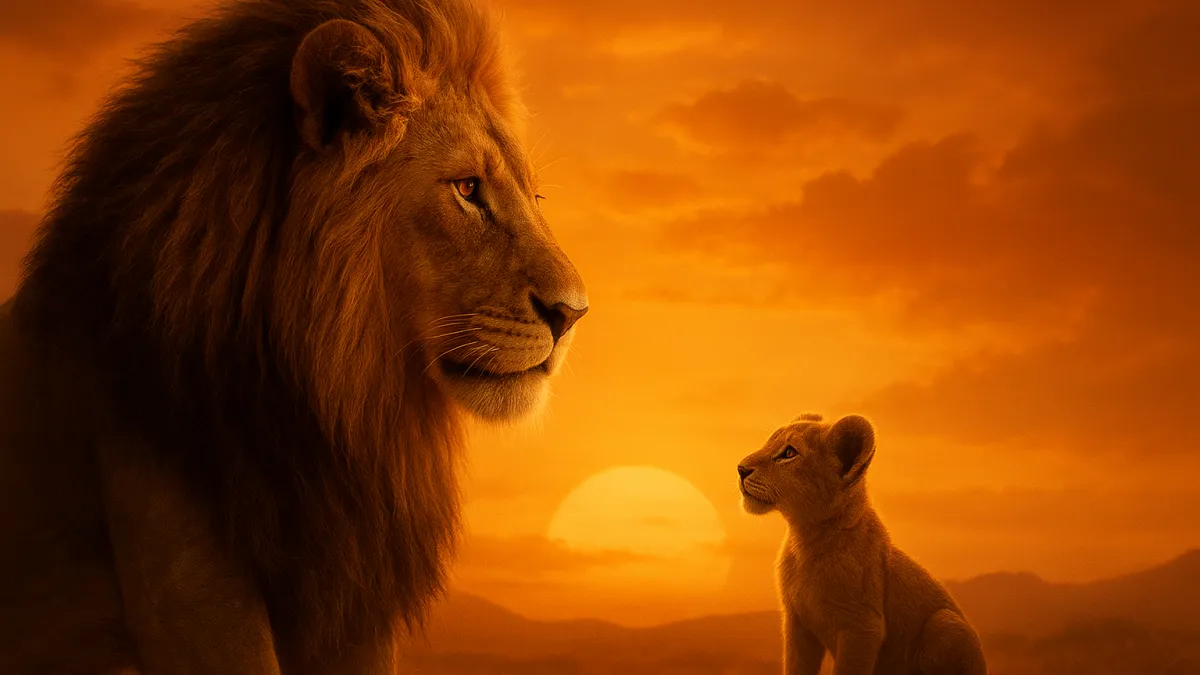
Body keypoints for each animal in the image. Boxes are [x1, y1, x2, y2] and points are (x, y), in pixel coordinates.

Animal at [0, 0, 587, 673]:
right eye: (467, 189)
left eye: (534, 195)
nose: (574, 313)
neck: (337, 404)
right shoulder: (190, 596)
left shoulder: (353, 598)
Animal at [737, 414, 987, 675]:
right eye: (770, 442)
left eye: (788, 453)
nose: (740, 469)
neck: (806, 538)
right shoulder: (797, 623)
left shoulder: (862, 627)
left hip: (945, 623)